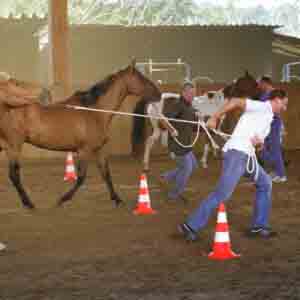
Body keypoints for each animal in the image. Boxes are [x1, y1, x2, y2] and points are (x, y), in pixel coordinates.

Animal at [0, 61, 162, 209]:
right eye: (142, 78)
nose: (159, 94)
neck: (95, 112)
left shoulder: (100, 150)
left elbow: (106, 174)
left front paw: (117, 199)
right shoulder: (85, 150)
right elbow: (81, 178)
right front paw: (63, 199)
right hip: (14, 146)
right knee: (14, 175)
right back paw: (28, 203)